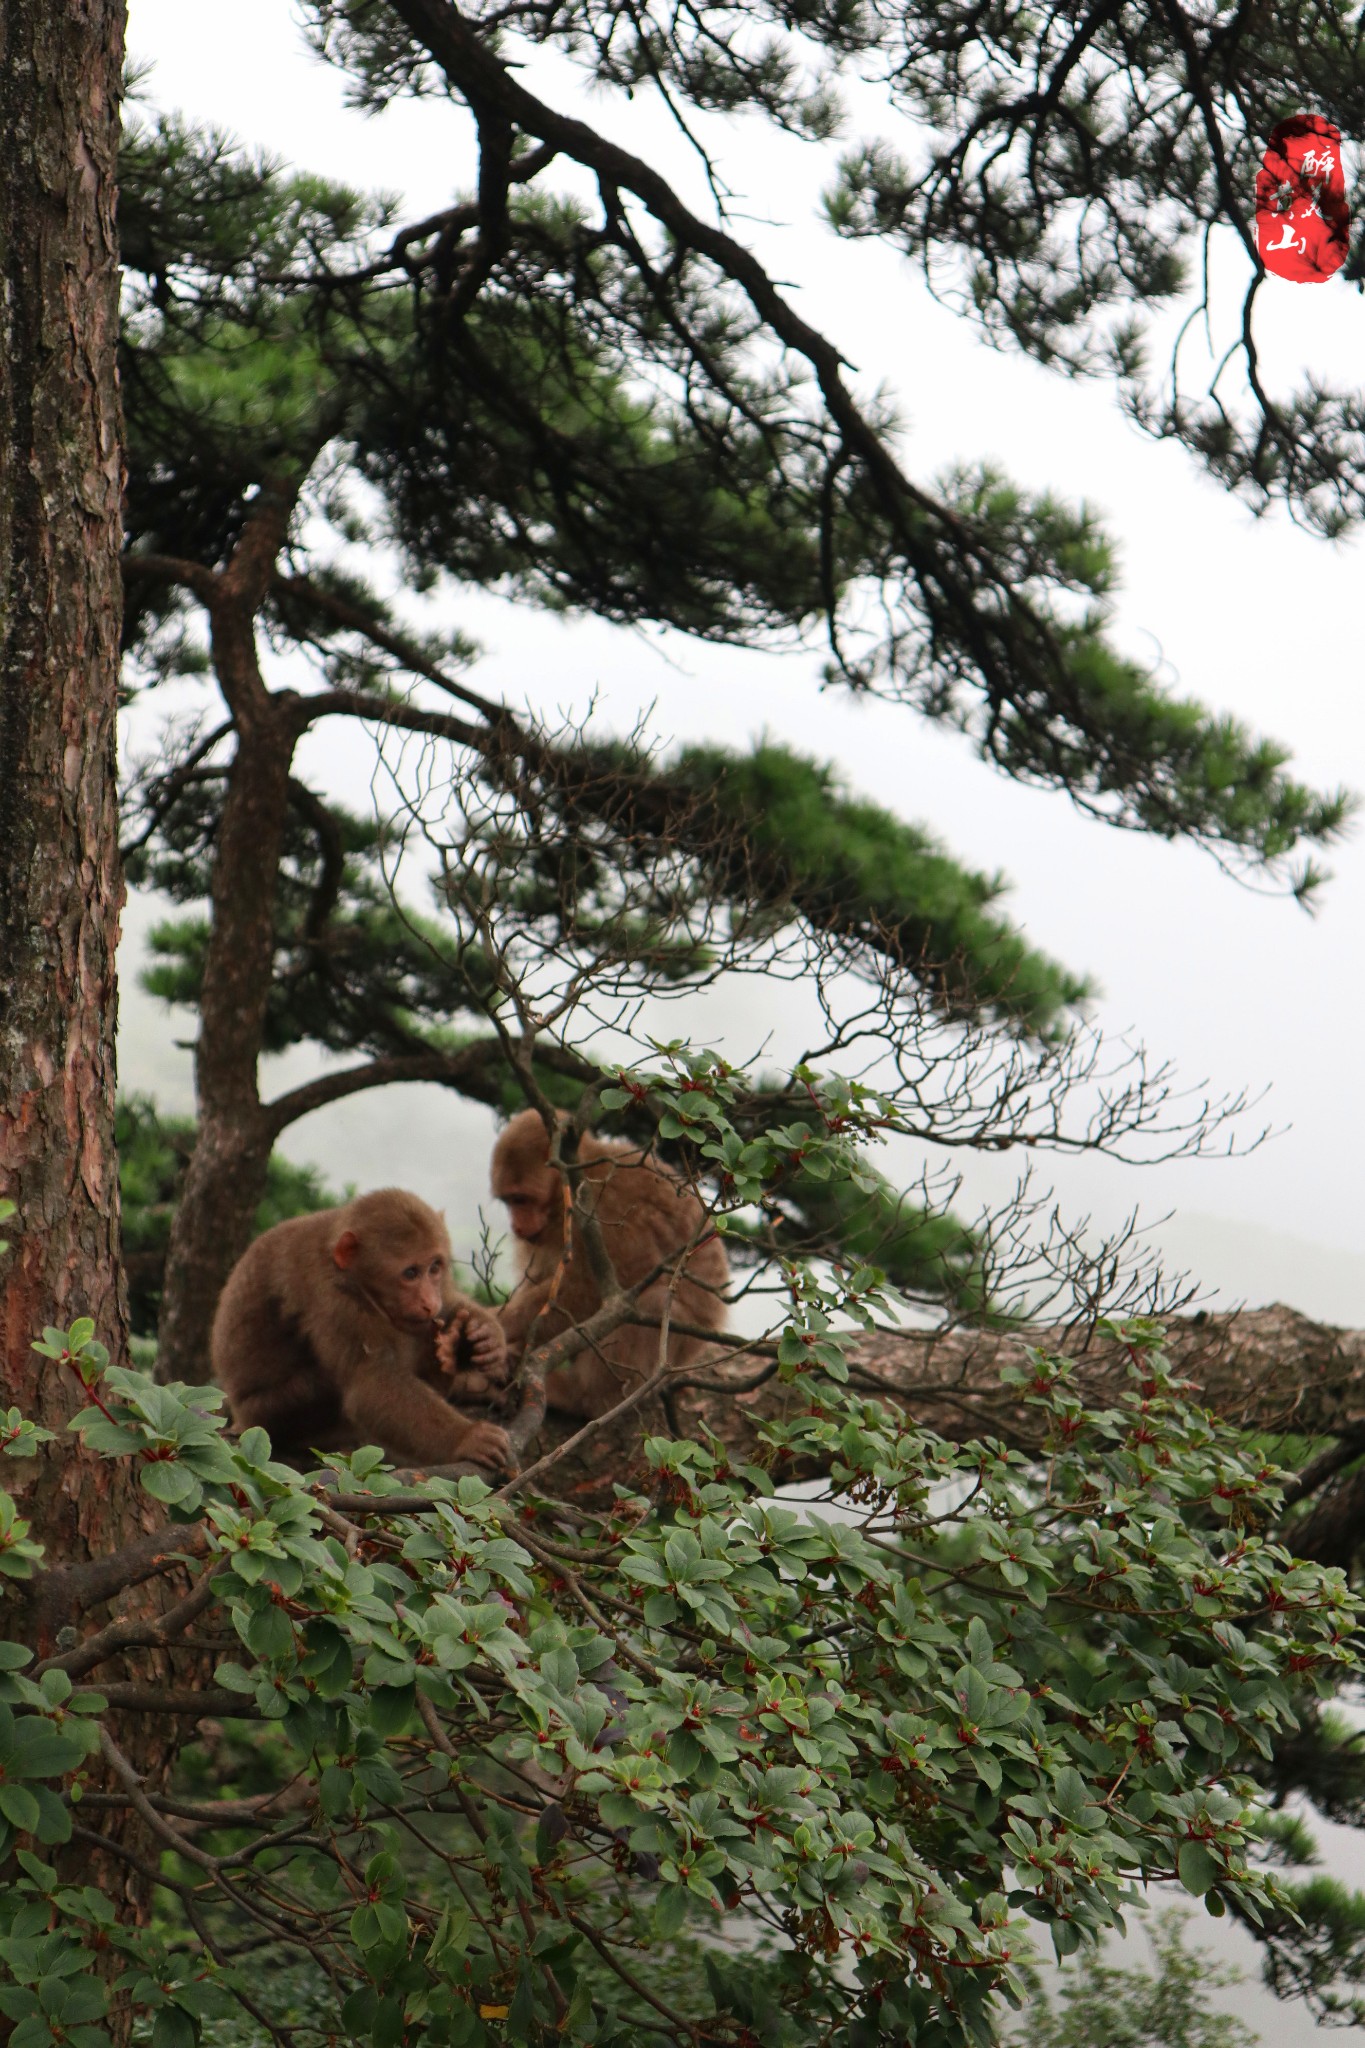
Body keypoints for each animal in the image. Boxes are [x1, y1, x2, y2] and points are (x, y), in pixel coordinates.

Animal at [210, 1187, 509, 1474]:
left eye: (435, 1267)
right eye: (410, 1273)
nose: (428, 1303)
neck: (348, 1275)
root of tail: (239, 1416)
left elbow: (448, 1302)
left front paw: (484, 1333)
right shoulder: (335, 1303)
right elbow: (371, 1384)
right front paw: (467, 1438)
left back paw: (448, 1355)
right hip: (266, 1412)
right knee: (327, 1381)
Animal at [464, 1105, 732, 1425]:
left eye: (521, 1199)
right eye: (509, 1201)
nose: (517, 1226)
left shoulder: (603, 1207)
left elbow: (612, 1281)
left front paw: (494, 1329)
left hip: (685, 1344)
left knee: (650, 1304)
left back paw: (581, 1398)